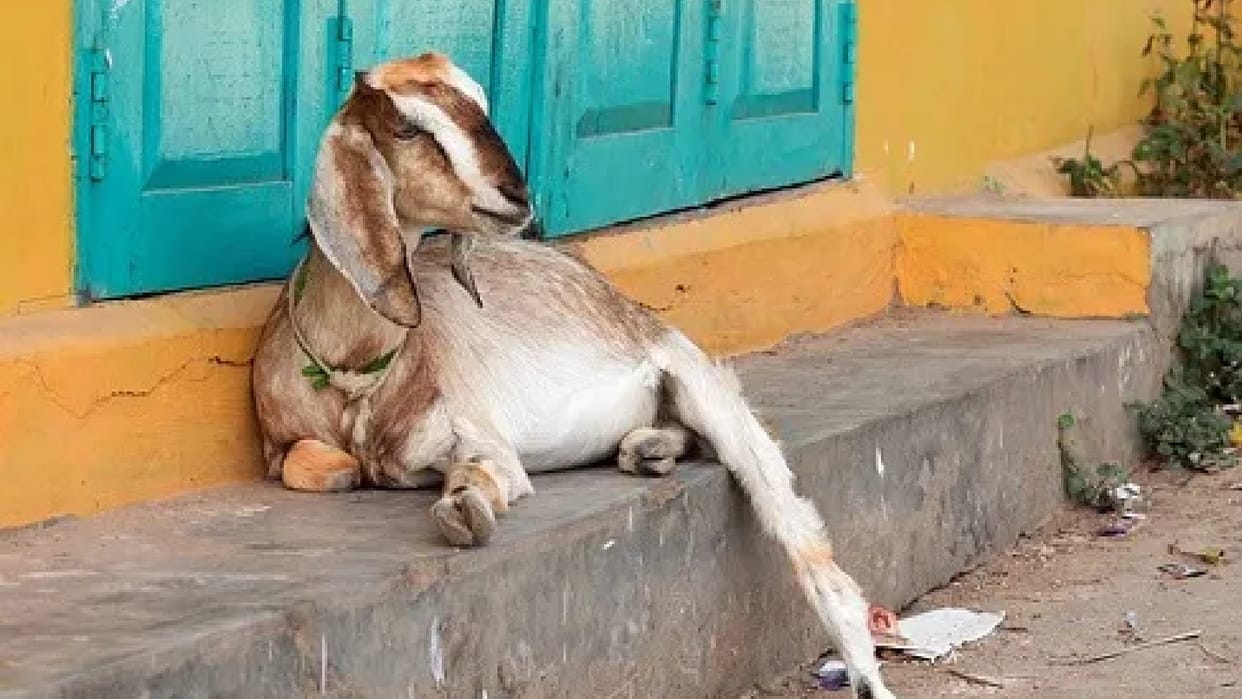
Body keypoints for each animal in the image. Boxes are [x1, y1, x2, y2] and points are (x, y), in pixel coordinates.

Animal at [251, 53, 895, 698]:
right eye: (407, 127)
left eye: (478, 101)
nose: (517, 194)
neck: (354, 376)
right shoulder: (280, 444)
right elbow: (313, 465)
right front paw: (352, 470)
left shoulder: (478, 436)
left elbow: (481, 474)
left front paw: (464, 510)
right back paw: (649, 449)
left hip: (700, 380)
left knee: (802, 534)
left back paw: (867, 673)